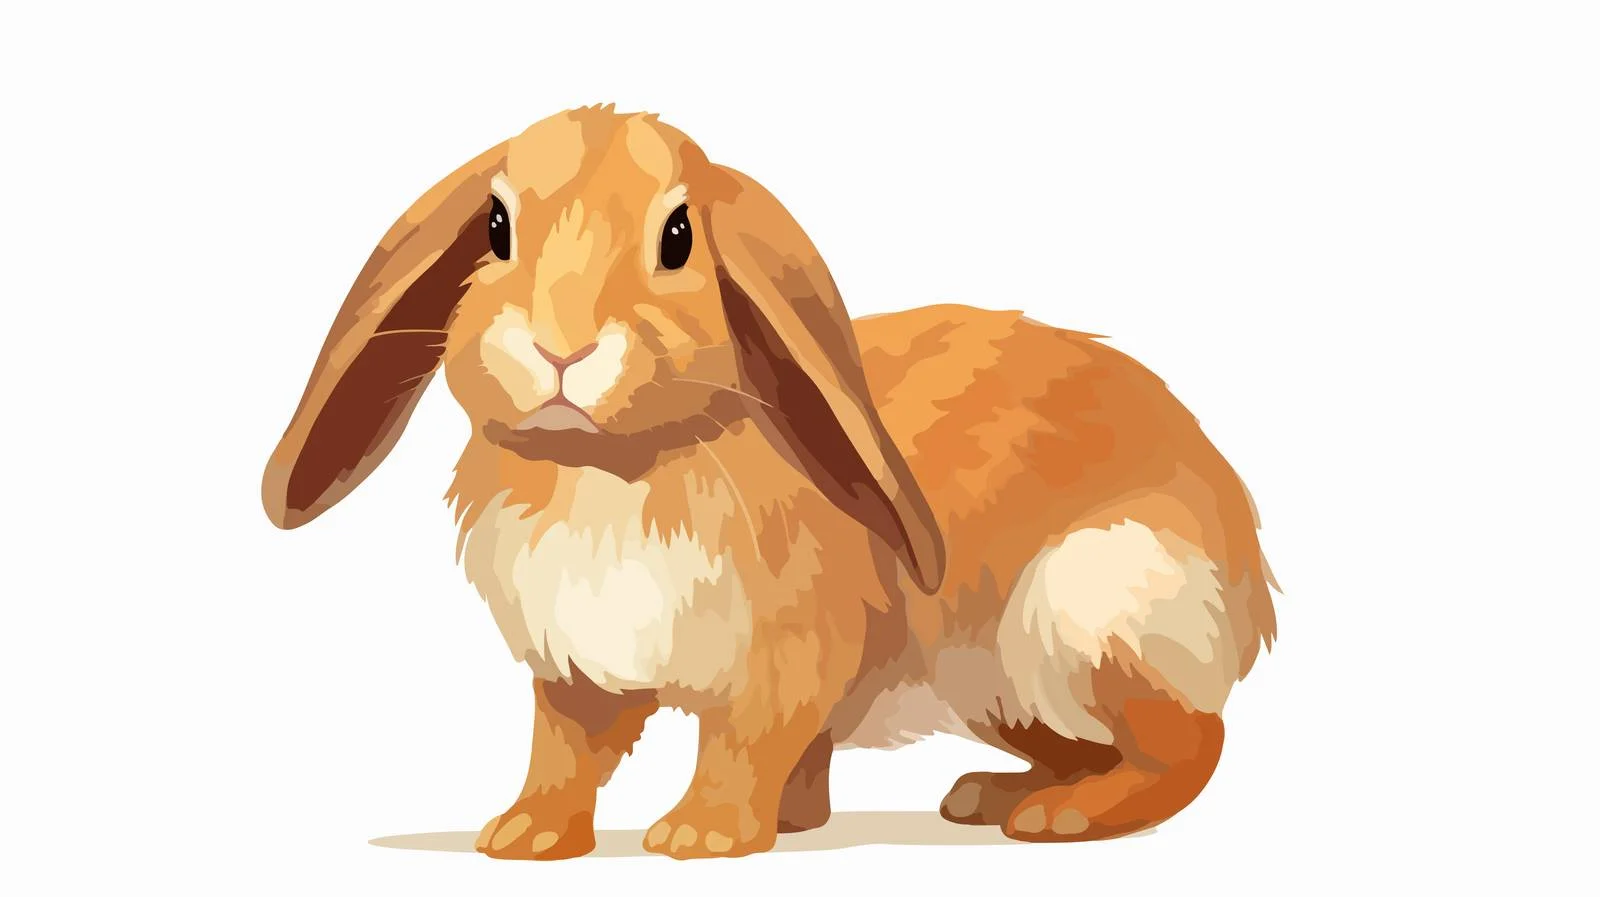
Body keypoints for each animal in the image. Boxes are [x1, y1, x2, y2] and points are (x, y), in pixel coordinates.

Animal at [262, 104, 1278, 860]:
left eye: (677, 236)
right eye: (498, 227)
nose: (561, 347)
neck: (611, 467)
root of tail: (1248, 587)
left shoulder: (781, 660)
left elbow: (743, 745)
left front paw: (702, 836)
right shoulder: (574, 669)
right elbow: (565, 753)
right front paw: (522, 834)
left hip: (1089, 612)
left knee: (1194, 745)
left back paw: (1062, 817)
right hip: (1010, 686)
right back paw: (990, 794)